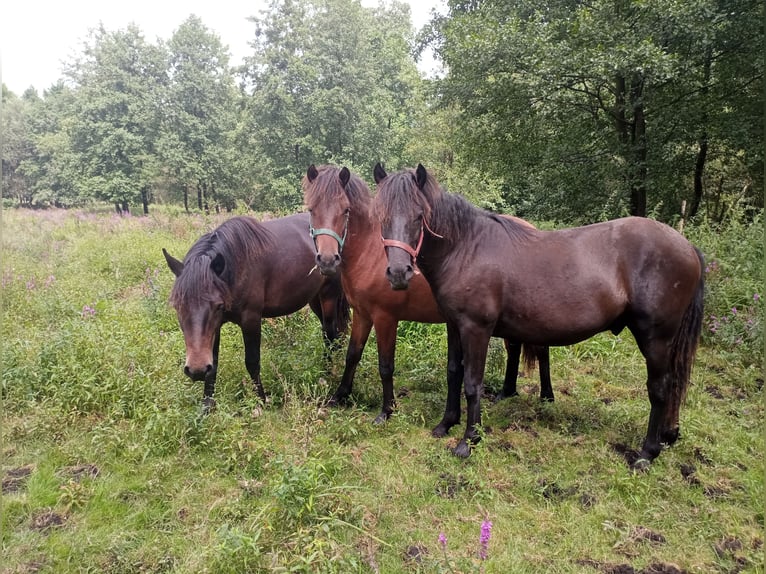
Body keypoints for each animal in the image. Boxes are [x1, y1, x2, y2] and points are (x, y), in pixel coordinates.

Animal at [165, 214, 352, 412]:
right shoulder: (215, 327)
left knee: (331, 335)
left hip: (328, 295)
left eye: (218, 305)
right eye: (177, 306)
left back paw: (327, 373)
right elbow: (214, 363)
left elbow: (252, 362)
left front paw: (262, 401)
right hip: (314, 298)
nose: (196, 370)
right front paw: (207, 406)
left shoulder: (251, 319)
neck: (236, 266)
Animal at [300, 164, 552, 430]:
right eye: (312, 209)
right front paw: (340, 396)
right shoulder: (362, 314)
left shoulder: (385, 318)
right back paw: (506, 393)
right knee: (514, 347)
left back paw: (546, 397)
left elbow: (386, 366)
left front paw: (386, 411)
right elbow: (352, 355)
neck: (370, 253)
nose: (328, 261)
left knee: (541, 350)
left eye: (345, 210)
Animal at [376, 164, 704, 470]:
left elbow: (472, 382)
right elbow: (453, 373)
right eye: (381, 217)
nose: (398, 273)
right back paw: (665, 437)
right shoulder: (454, 326)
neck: (466, 248)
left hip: (656, 338)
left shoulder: (476, 328)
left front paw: (469, 441)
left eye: (420, 215)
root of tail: (687, 245)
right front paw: (446, 424)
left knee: (660, 388)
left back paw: (647, 453)